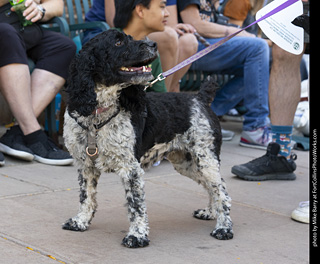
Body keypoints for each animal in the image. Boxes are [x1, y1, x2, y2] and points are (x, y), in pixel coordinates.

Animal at [62, 29, 232, 248]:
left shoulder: (131, 169)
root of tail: (199, 98)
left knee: (222, 192)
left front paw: (137, 235)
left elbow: (136, 206)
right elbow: (86, 197)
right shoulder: (86, 166)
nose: (153, 44)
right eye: (118, 42)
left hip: (206, 159)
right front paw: (80, 221)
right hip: (188, 163)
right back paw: (211, 213)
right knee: (213, 188)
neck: (96, 117)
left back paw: (224, 228)